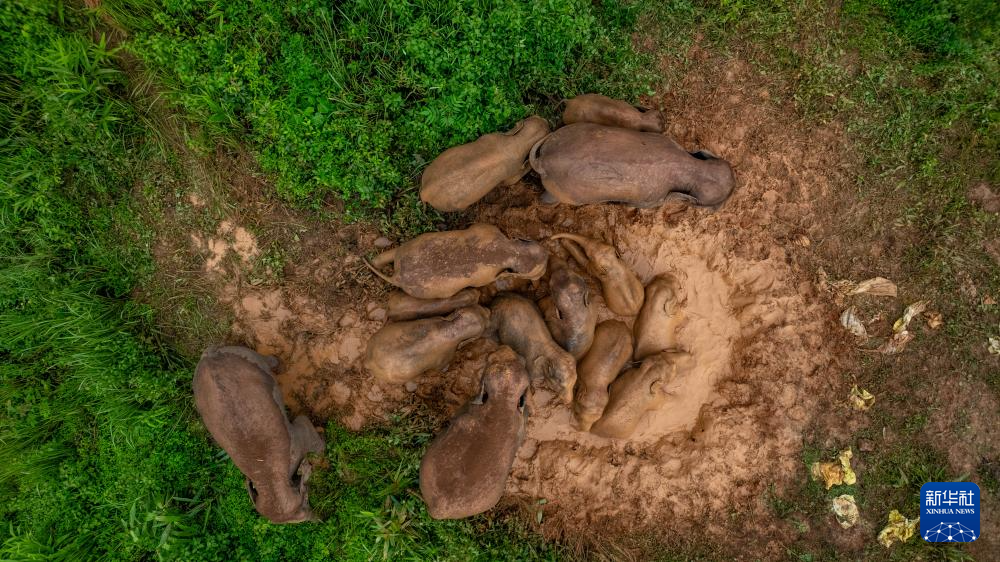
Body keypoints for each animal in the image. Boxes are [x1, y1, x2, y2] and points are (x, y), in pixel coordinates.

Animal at [192, 344, 324, 524]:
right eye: (305, 502)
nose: (319, 520)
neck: (268, 482)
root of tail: (210, 355)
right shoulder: (299, 439)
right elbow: (309, 432)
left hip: (246, 356)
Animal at [364, 224, 548, 302]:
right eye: (529, 274)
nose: (547, 255)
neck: (510, 252)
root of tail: (398, 277)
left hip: (408, 247)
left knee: (390, 254)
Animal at [420, 115, 552, 211]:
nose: (546, 119)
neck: (516, 144)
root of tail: (425, 192)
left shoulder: (491, 136)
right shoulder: (512, 173)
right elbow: (511, 181)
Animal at [532, 122, 736, 208]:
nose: (734, 184)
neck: (690, 168)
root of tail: (545, 160)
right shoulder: (654, 200)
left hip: (571, 130)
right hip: (566, 192)